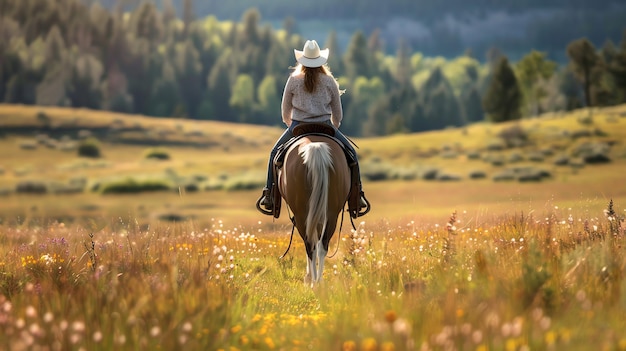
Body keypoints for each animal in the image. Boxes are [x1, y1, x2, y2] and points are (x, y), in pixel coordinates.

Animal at [278, 133, 352, 286]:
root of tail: (316, 147)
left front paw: (308, 276)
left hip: (301, 214)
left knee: (309, 244)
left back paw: (313, 282)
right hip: (331, 213)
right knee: (322, 245)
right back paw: (319, 282)